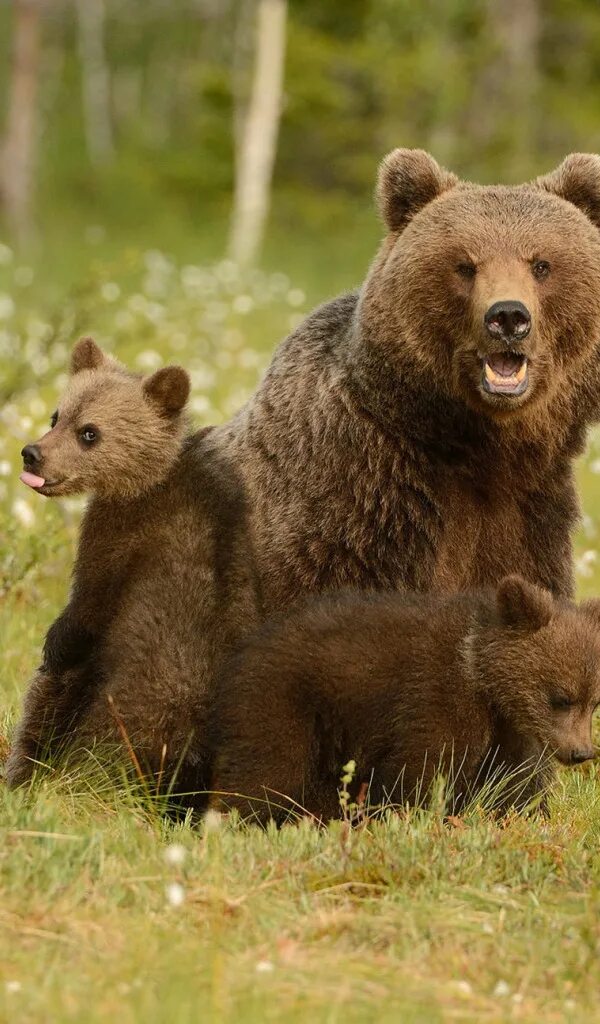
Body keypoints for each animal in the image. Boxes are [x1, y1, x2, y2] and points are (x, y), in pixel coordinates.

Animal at [5, 335, 259, 790]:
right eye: (57, 415)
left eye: (90, 432)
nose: (32, 454)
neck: (148, 480)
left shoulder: (116, 538)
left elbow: (83, 611)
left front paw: (54, 640)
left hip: (129, 710)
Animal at [208, 577, 597, 823]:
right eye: (561, 698)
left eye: (594, 702)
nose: (581, 752)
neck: (481, 673)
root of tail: (244, 652)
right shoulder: (437, 695)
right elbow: (423, 767)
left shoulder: (508, 728)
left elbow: (510, 780)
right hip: (284, 701)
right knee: (267, 770)